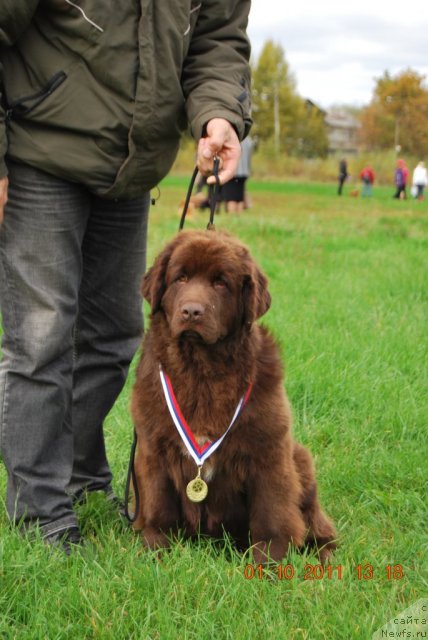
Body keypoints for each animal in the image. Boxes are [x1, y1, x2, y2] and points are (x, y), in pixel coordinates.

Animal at [130, 232, 334, 564]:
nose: (191, 311)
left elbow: (272, 509)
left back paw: (324, 554)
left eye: (221, 283)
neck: (202, 370)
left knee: (315, 519)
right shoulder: (153, 446)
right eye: (180, 278)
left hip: (301, 459)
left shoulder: (268, 449)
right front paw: (156, 548)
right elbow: (158, 502)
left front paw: (269, 560)